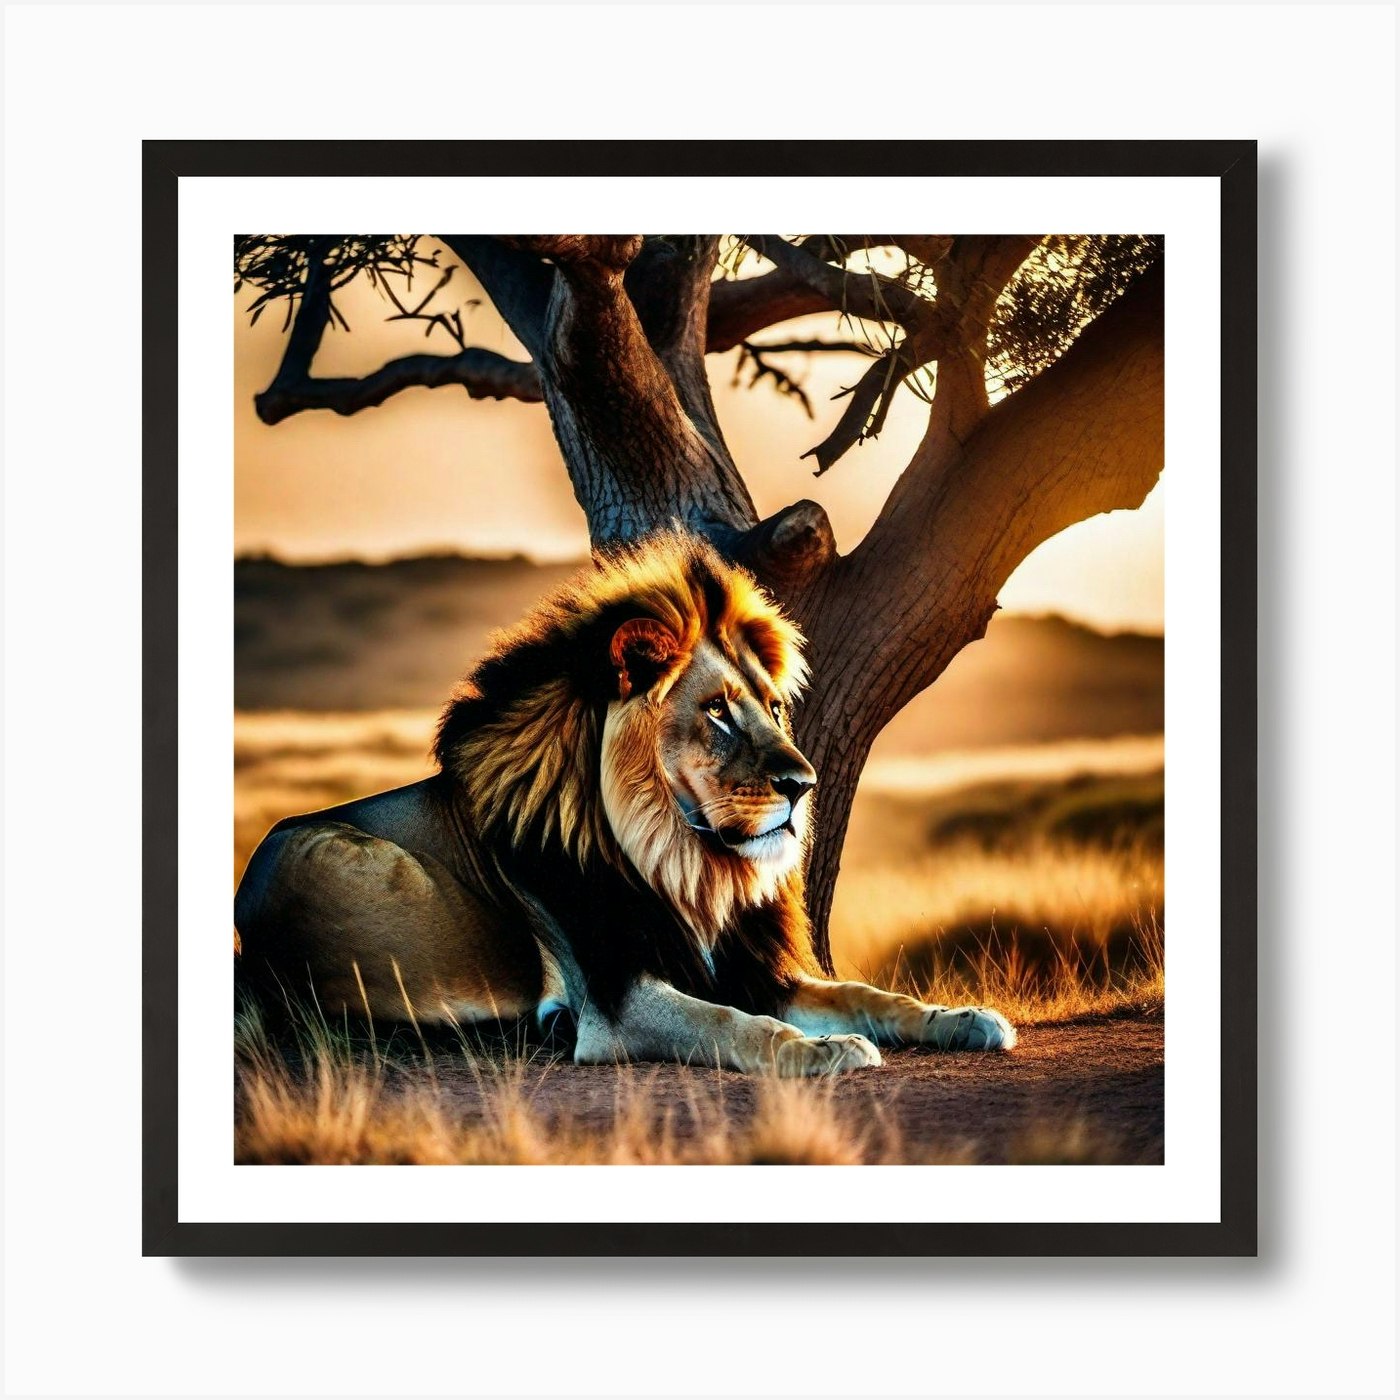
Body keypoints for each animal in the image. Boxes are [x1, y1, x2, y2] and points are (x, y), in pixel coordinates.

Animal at [234, 530, 1015, 1076]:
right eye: (717, 712)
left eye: (771, 708)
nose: (805, 784)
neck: (687, 869)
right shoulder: (618, 998)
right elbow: (730, 1023)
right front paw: (821, 1052)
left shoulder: (750, 971)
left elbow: (864, 993)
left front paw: (964, 1017)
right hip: (356, 864)